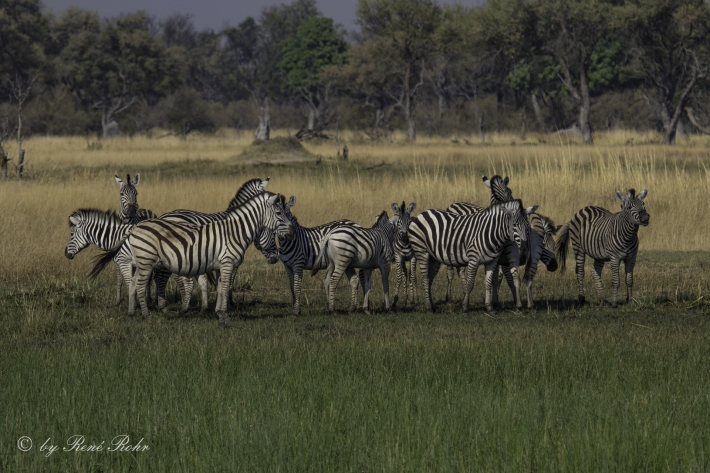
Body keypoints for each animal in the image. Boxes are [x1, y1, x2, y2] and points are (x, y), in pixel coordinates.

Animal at [90, 191, 294, 324]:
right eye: (279, 213)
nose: (291, 231)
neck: (234, 232)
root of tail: (135, 227)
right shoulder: (228, 263)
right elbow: (225, 287)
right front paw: (225, 316)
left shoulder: (220, 265)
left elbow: (220, 288)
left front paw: (219, 313)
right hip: (146, 262)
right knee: (139, 285)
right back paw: (146, 315)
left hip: (141, 262)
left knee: (132, 283)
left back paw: (132, 313)